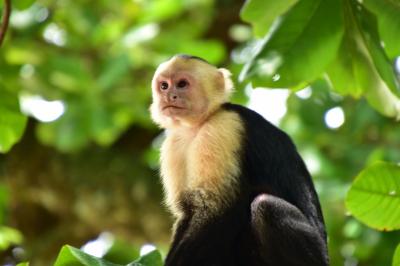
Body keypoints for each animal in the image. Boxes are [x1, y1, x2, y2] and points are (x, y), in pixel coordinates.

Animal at [150, 54, 328, 266]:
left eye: (182, 84)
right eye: (164, 86)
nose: (169, 96)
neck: (197, 125)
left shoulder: (223, 127)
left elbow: (214, 208)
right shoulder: (173, 145)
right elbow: (187, 212)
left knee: (267, 206)